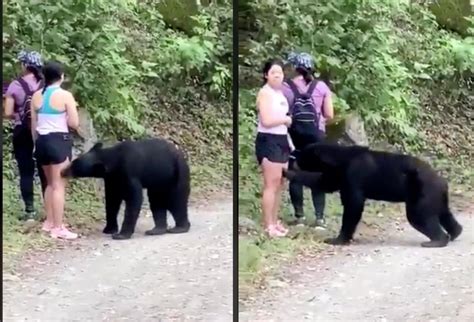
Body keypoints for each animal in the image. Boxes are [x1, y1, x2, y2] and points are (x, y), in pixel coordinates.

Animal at [61, 137, 191, 240]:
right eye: (74, 162)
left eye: (74, 167)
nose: (62, 172)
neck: (114, 160)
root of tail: (181, 153)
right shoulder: (112, 179)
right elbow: (112, 200)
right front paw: (109, 229)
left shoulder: (129, 172)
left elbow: (134, 199)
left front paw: (121, 234)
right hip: (158, 181)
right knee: (156, 201)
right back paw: (157, 229)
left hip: (177, 174)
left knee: (176, 200)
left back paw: (180, 227)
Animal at [282, 144, 462, 249]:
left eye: (303, 154)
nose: (293, 154)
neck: (340, 160)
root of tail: (443, 181)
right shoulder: (338, 175)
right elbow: (323, 183)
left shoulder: (353, 175)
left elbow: (353, 205)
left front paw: (337, 239)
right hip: (436, 196)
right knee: (445, 214)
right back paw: (455, 232)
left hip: (422, 192)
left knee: (419, 216)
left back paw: (436, 240)